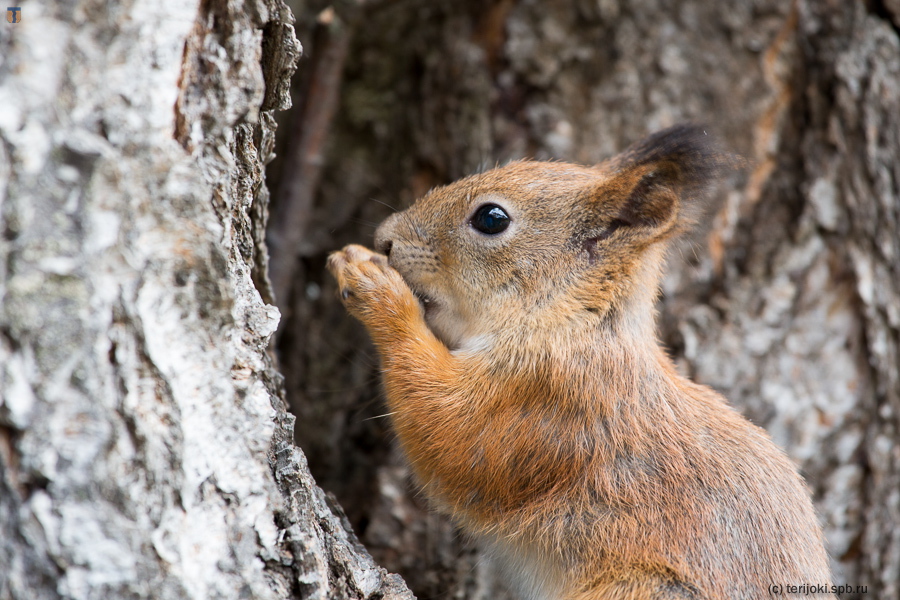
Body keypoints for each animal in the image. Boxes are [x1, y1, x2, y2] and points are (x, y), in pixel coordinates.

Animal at [328, 124, 828, 596]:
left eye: (491, 218)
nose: (384, 238)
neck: (574, 323)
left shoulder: (547, 397)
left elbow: (447, 434)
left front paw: (375, 287)